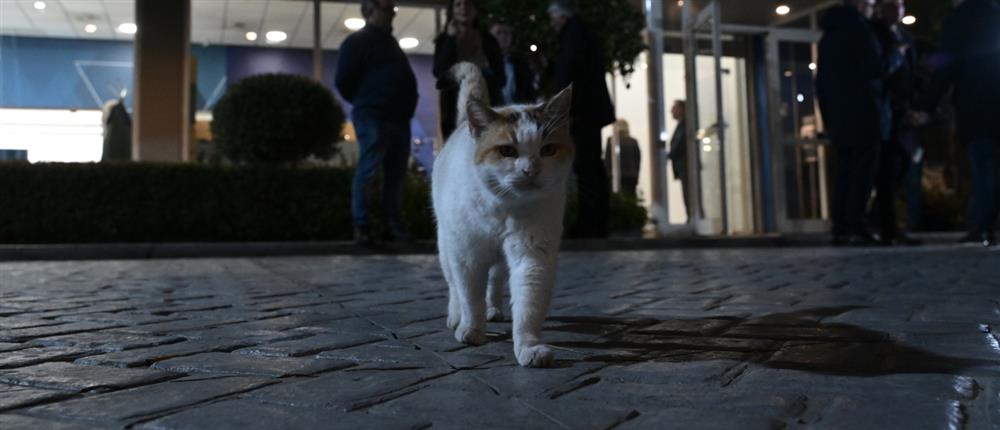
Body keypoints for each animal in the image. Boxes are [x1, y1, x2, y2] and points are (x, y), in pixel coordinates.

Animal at [434, 62, 576, 368]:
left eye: (548, 149)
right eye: (507, 151)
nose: (530, 170)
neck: (503, 209)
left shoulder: (532, 254)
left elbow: (528, 306)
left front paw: (529, 347)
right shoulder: (466, 254)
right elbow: (469, 296)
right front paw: (471, 330)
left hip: (498, 260)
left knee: (495, 282)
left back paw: (494, 309)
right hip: (446, 245)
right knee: (453, 286)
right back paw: (455, 317)